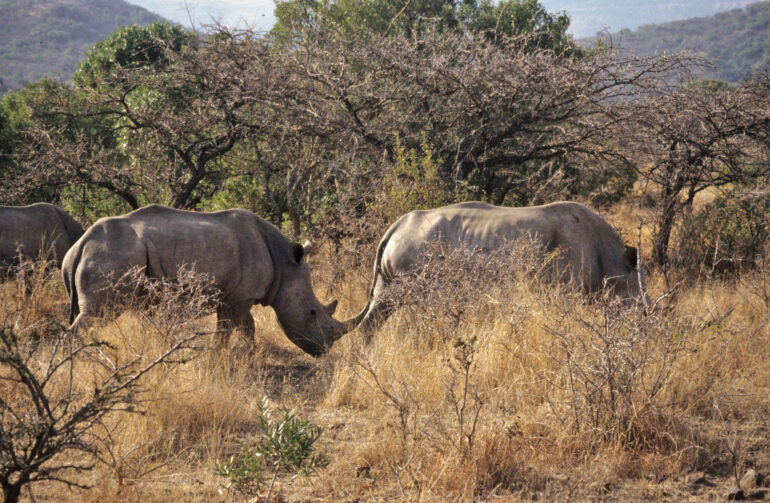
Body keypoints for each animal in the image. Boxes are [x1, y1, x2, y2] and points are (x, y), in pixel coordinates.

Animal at [62, 205, 356, 356]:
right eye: (313, 312)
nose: (324, 351)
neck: (285, 265)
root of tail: (80, 244)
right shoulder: (239, 296)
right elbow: (230, 329)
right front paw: (223, 357)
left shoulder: (236, 295)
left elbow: (244, 327)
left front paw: (248, 353)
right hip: (112, 254)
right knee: (98, 314)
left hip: (99, 254)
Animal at [348, 201, 648, 338]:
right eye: (636, 299)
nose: (645, 324)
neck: (614, 260)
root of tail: (395, 227)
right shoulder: (564, 289)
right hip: (414, 252)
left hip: (400, 255)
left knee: (382, 302)